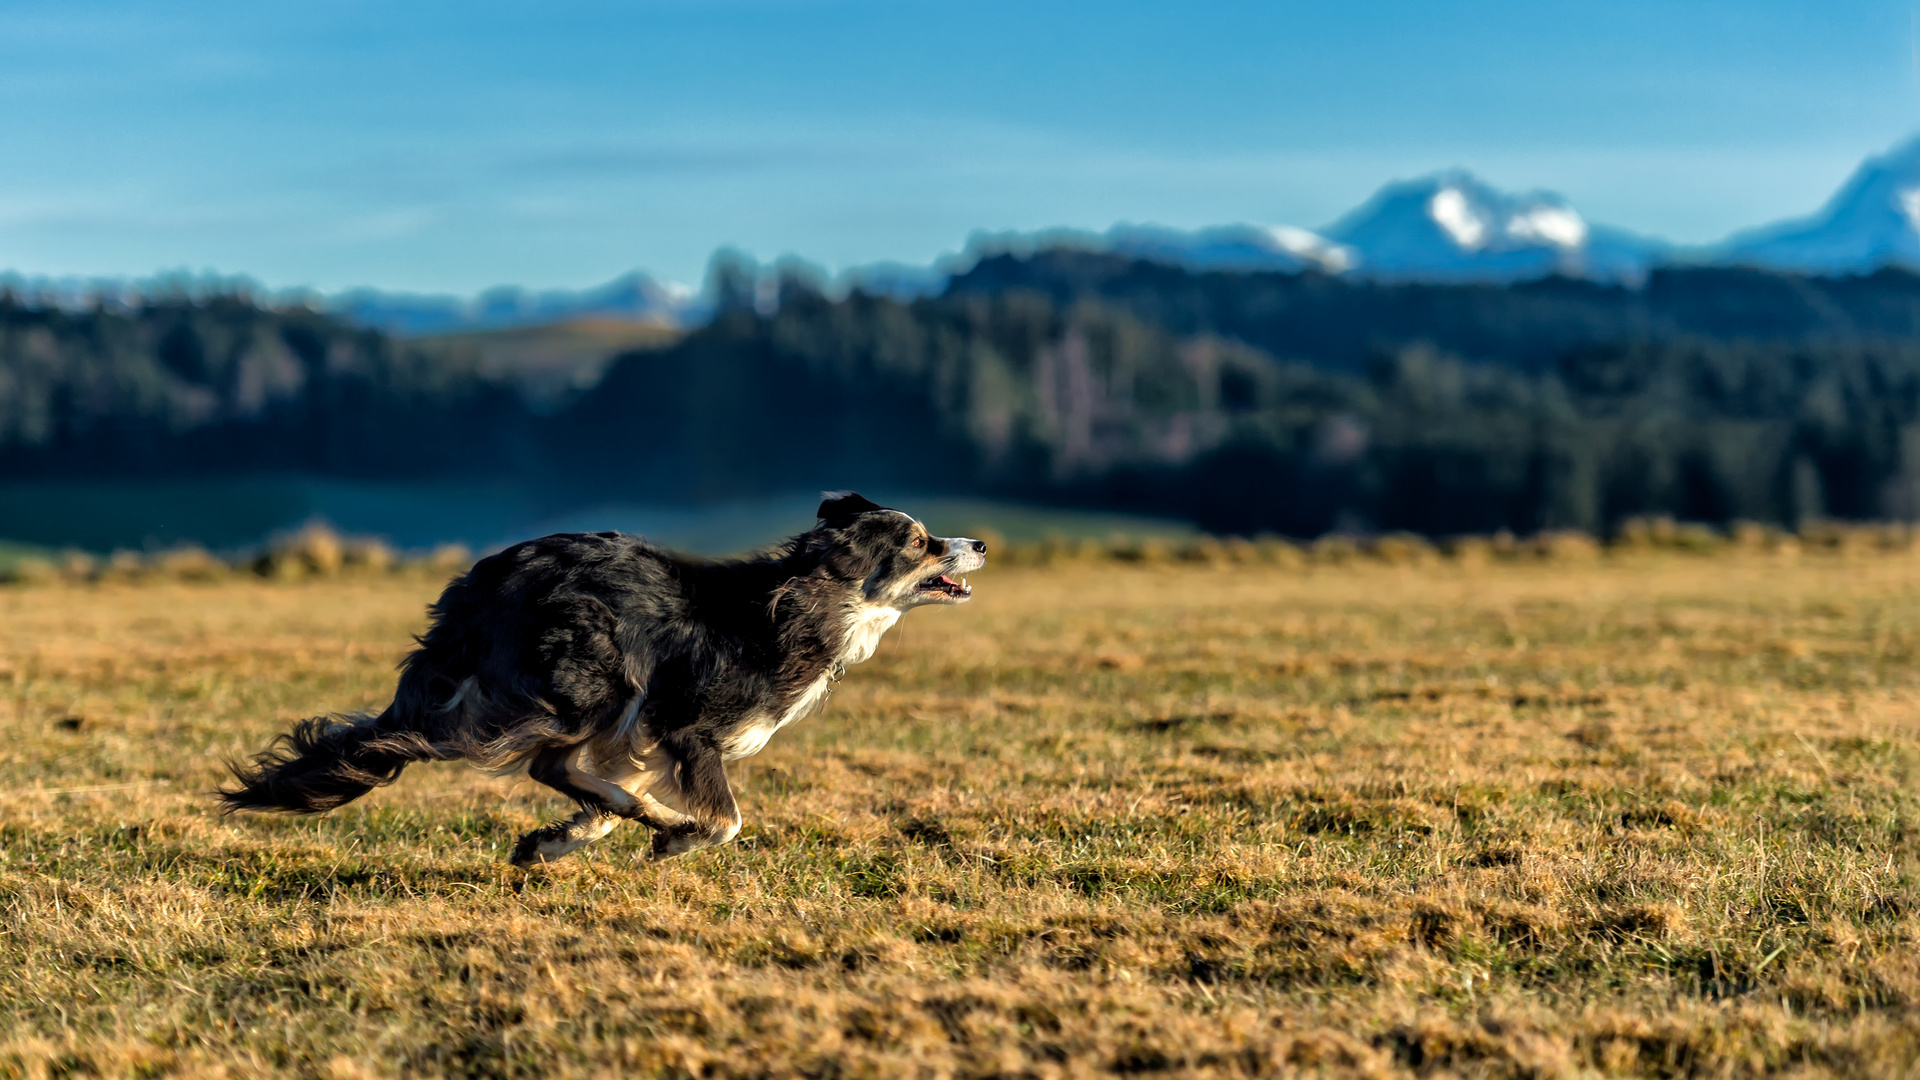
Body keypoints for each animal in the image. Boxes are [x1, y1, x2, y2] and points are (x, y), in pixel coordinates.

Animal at [217, 491, 983, 860]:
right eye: (920, 542)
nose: (978, 541)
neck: (804, 602)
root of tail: (480, 585)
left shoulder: (644, 738)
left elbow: (611, 800)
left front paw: (563, 840)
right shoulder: (684, 724)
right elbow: (727, 820)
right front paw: (678, 837)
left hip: (601, 697)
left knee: (561, 769)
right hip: (596, 679)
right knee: (541, 760)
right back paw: (659, 821)